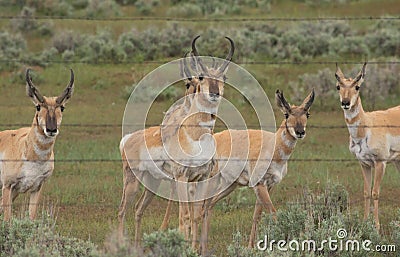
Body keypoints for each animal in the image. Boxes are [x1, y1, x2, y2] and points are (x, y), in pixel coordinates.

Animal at [0, 68, 74, 220]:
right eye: (38, 106)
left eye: (62, 107)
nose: (51, 129)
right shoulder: (7, 186)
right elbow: (7, 220)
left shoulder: (36, 188)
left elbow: (32, 218)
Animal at [117, 36, 234, 246]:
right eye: (201, 76)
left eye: (224, 77)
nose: (214, 93)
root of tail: (128, 139)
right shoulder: (182, 178)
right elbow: (185, 216)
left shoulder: (201, 178)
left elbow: (196, 215)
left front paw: (195, 248)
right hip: (132, 181)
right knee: (122, 209)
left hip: (152, 183)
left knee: (138, 208)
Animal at [336, 62, 398, 230]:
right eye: (338, 86)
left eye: (357, 86)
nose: (345, 102)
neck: (367, 125)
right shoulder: (364, 164)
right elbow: (366, 192)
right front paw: (364, 222)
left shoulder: (380, 163)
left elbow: (375, 192)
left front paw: (376, 226)